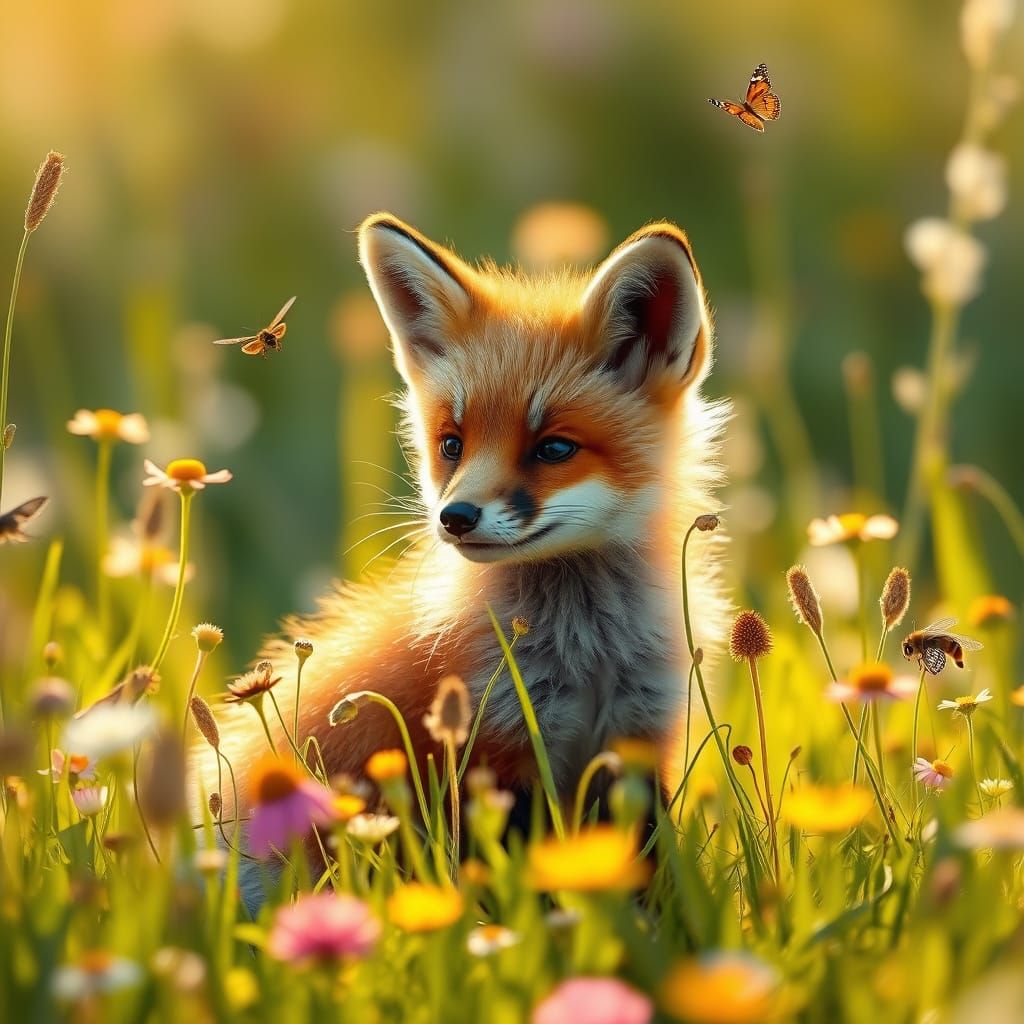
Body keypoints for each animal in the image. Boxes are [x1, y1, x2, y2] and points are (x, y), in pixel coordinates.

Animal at [203, 212, 729, 878]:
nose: (454, 517)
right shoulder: (493, 756)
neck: (588, 656)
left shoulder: (635, 744)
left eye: (554, 448)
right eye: (452, 444)